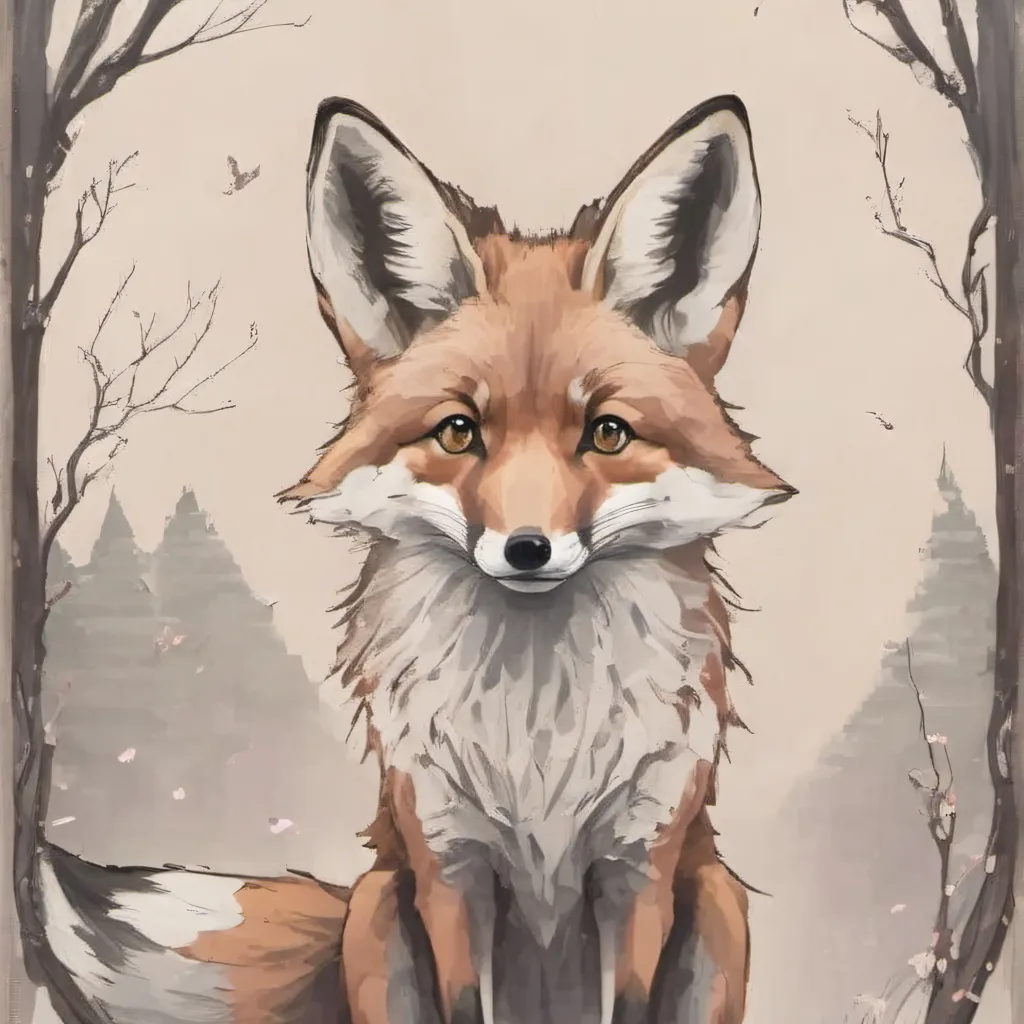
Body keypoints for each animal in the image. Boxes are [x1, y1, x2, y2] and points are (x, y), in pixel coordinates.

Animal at [34, 94, 793, 1024]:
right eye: (459, 432)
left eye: (607, 433)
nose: (528, 549)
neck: (538, 739)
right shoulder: (449, 864)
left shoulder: (637, 865)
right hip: (374, 907)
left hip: (720, 902)